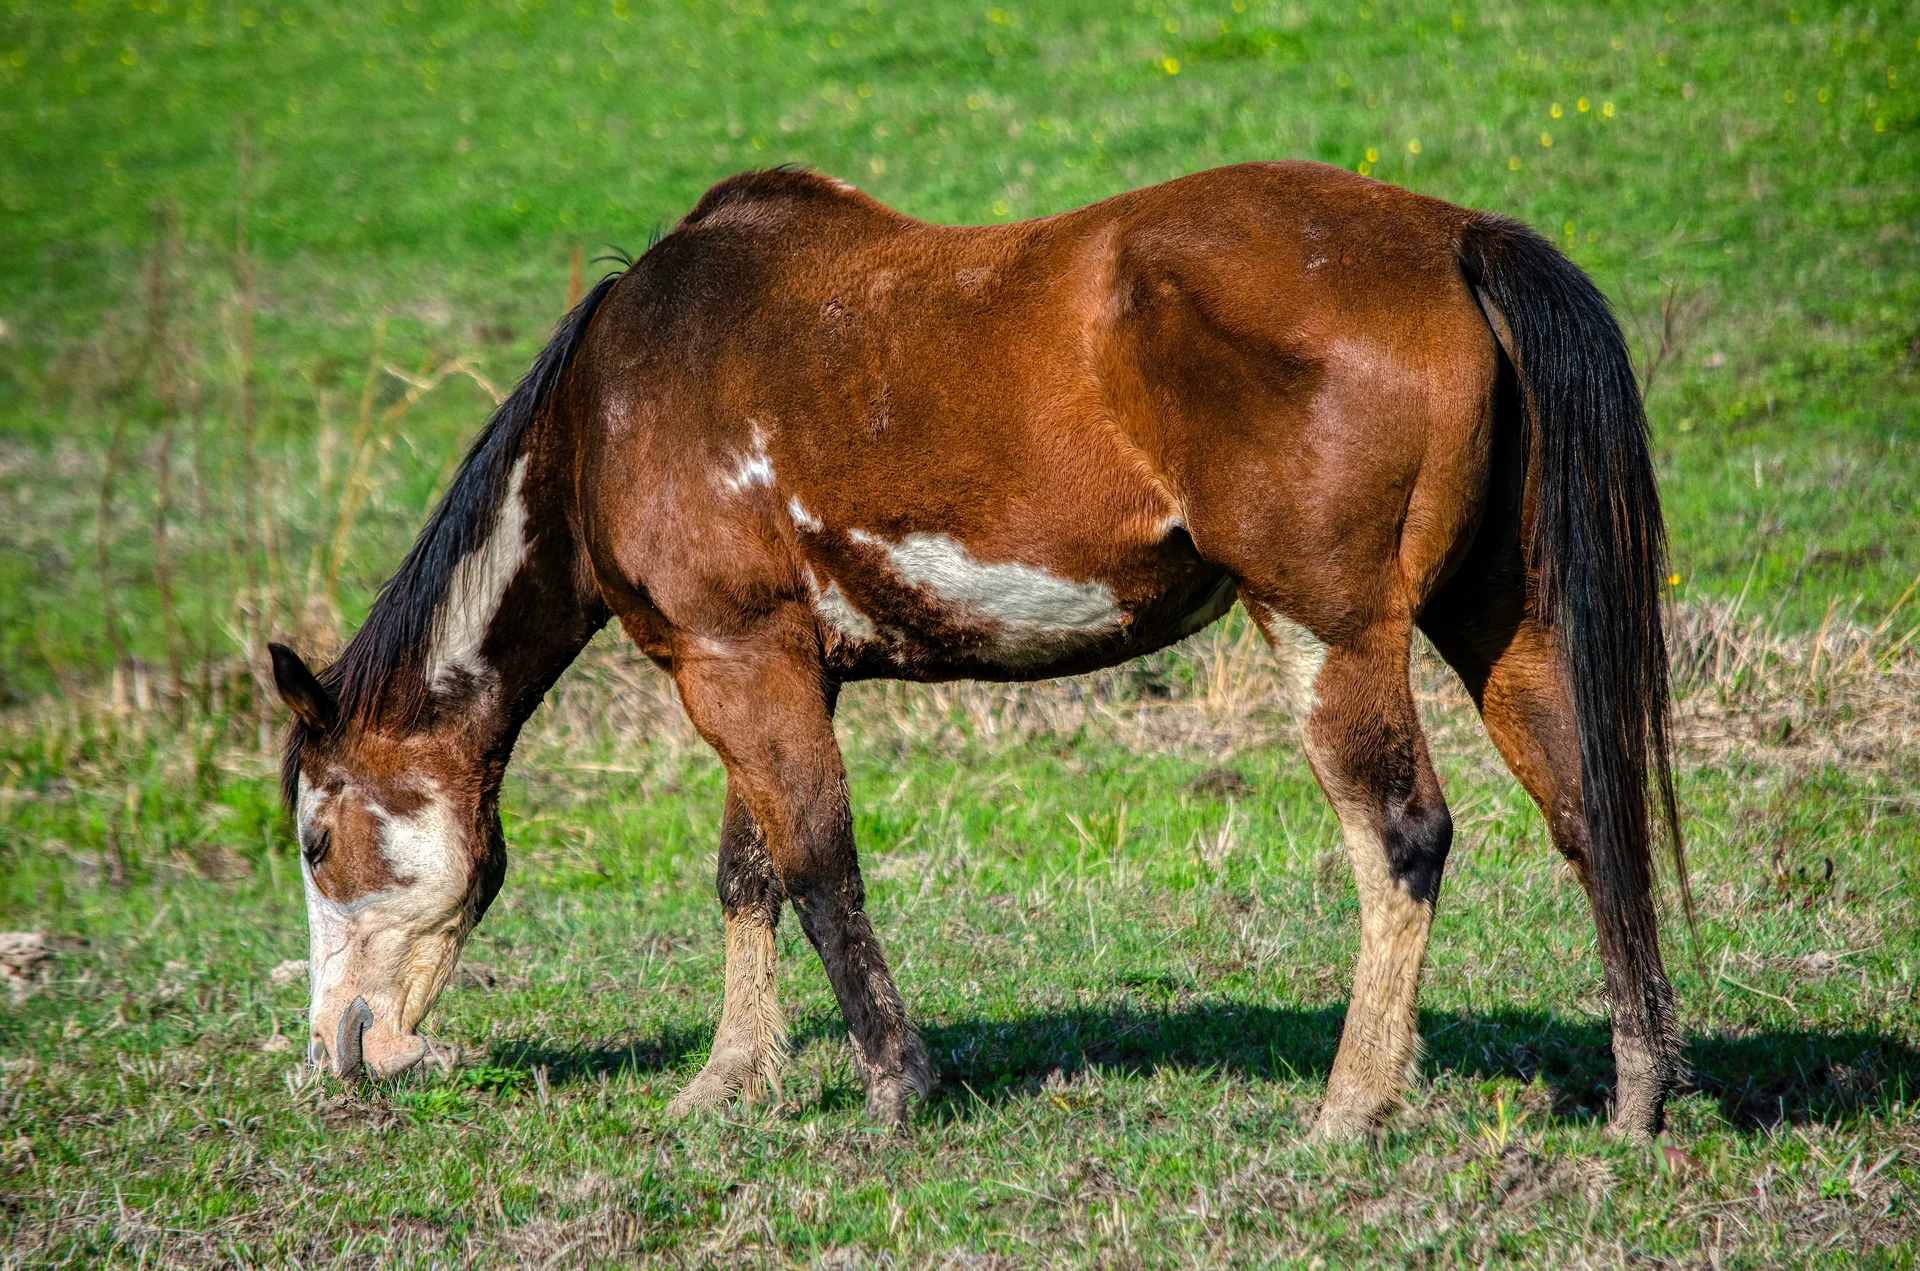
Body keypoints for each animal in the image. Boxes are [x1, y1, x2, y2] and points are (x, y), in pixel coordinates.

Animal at [270, 160, 1688, 1141]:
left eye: (317, 840)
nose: (341, 1050)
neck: (608, 410)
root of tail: (1450, 238)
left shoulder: (739, 665)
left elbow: (818, 867)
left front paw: (895, 1088)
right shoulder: (761, 667)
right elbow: (748, 873)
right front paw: (728, 1080)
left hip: (1331, 629)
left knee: (1402, 835)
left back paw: (1350, 1104)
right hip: (1498, 624)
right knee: (1588, 810)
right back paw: (1639, 1095)